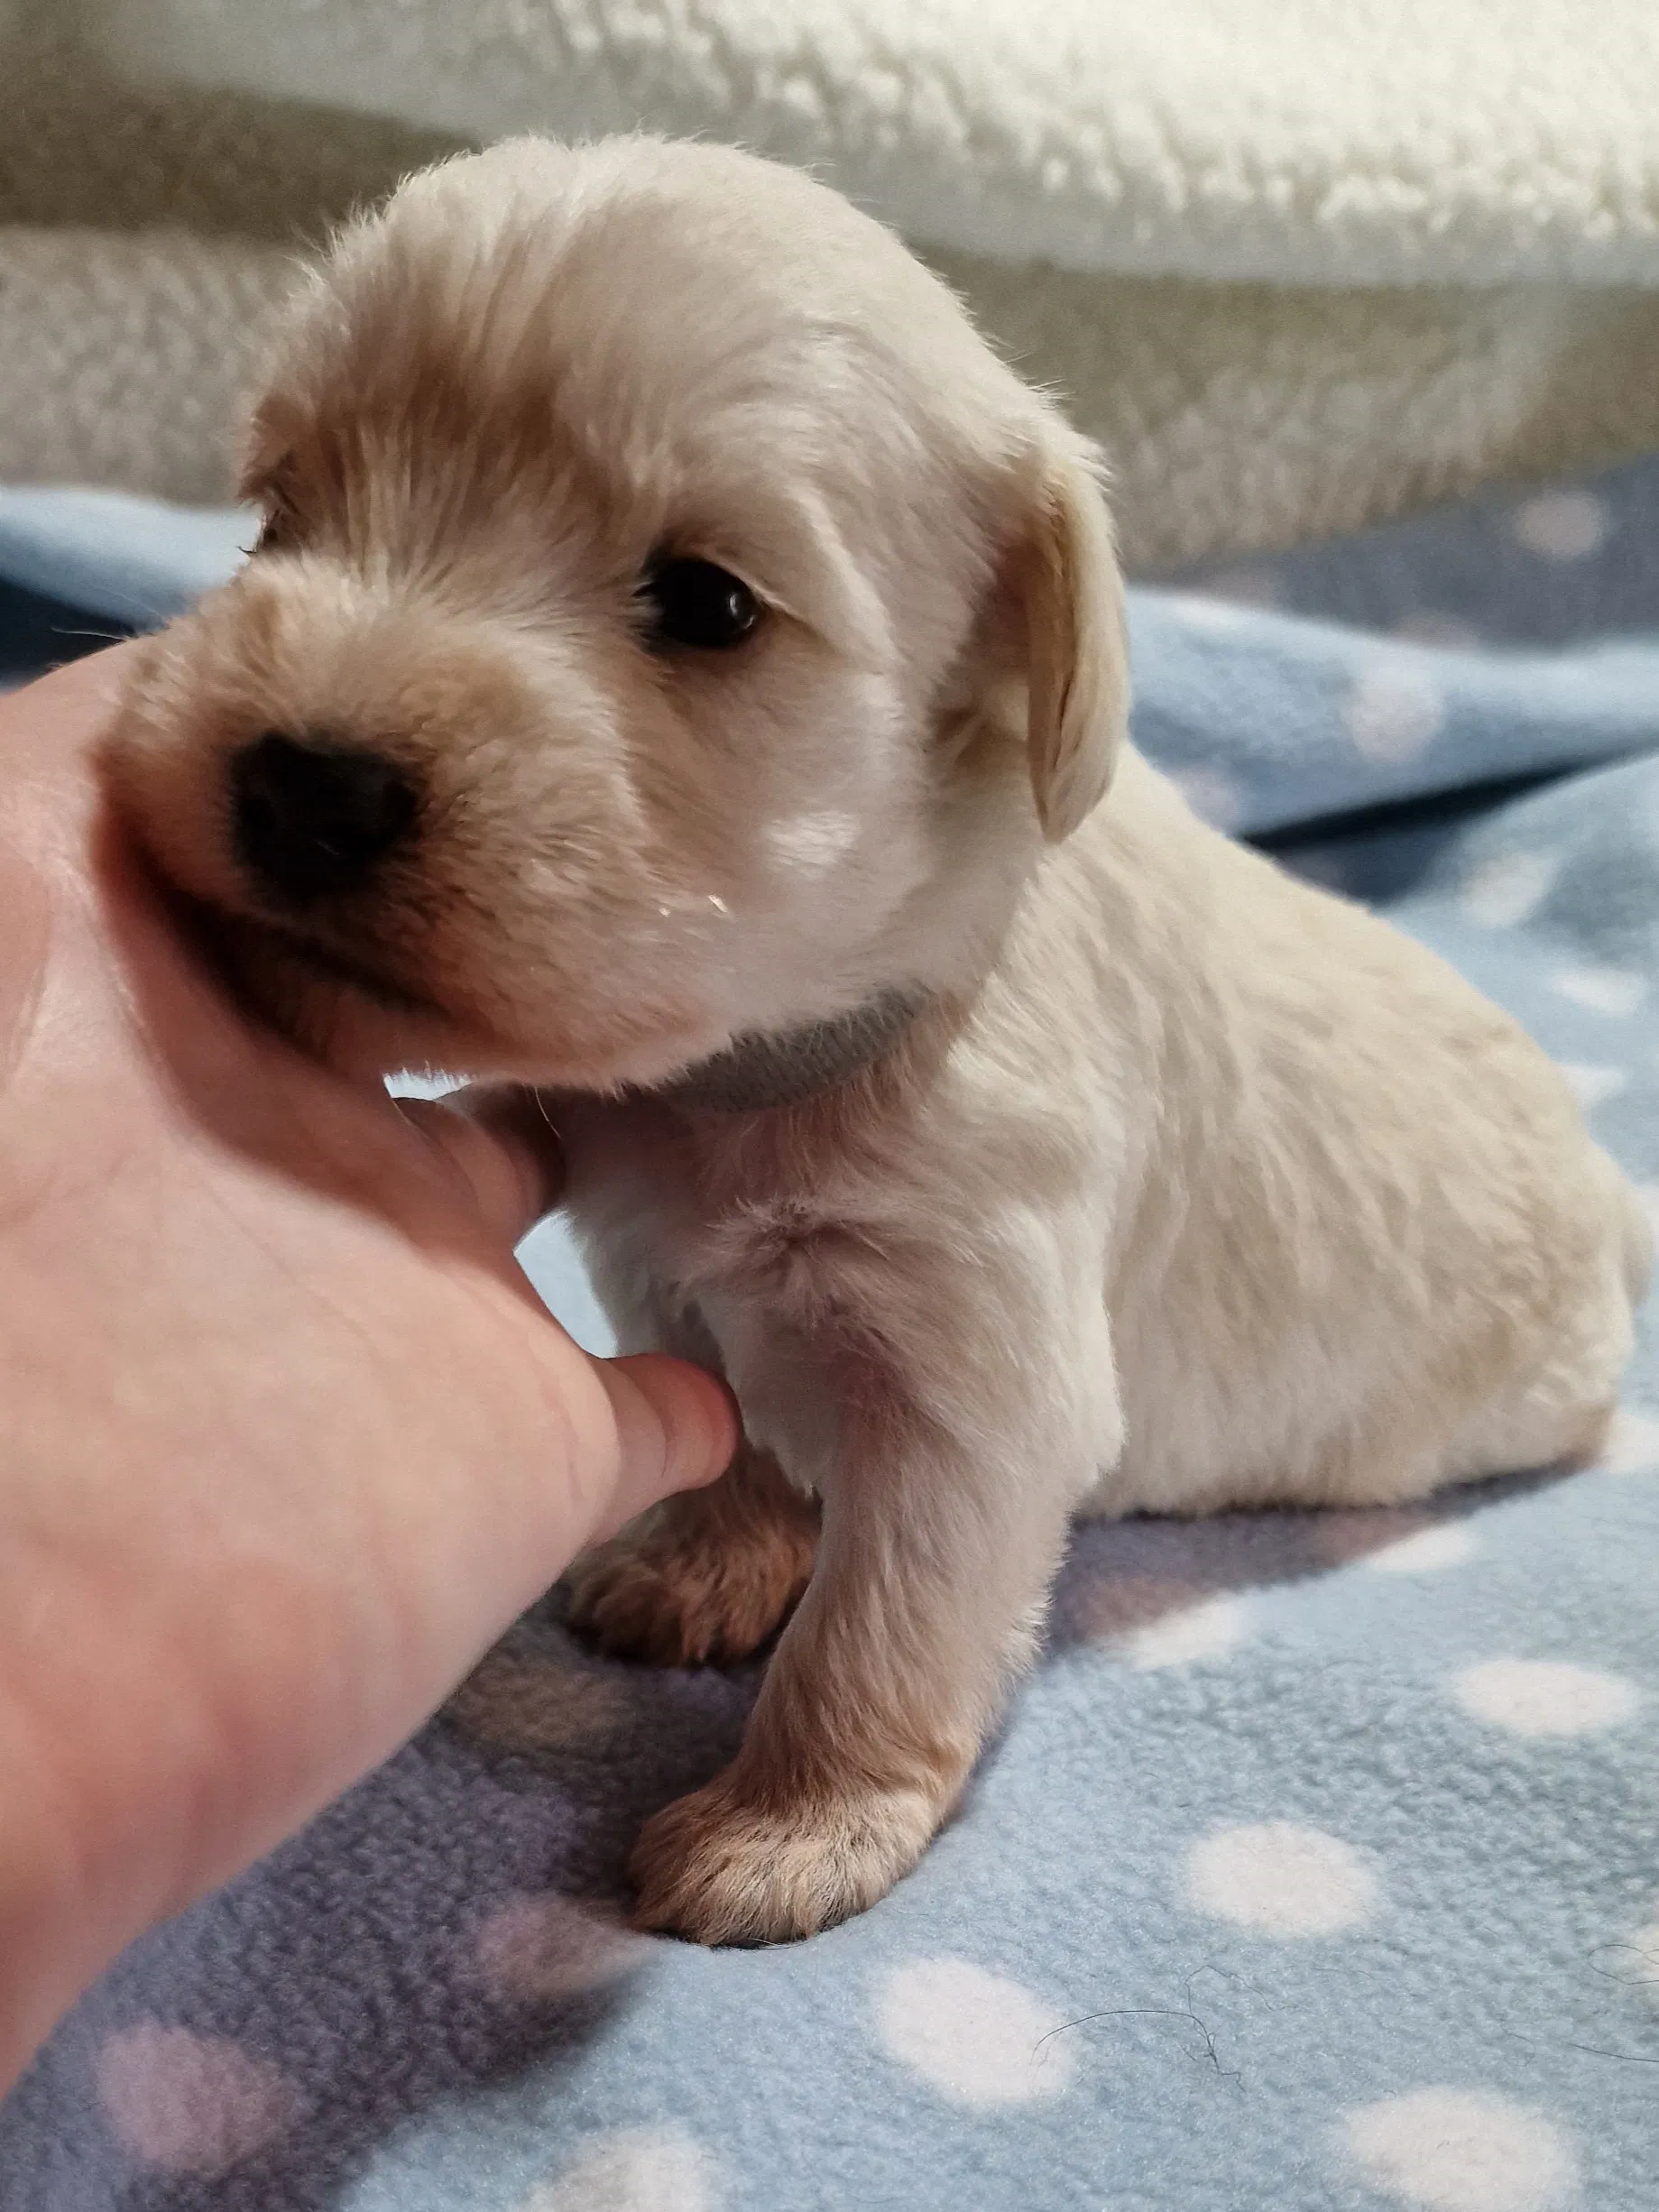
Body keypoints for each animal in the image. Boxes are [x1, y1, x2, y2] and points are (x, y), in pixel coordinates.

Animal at [104, 138, 1654, 1946]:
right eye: (280, 508)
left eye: (707, 603)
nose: (302, 784)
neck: (776, 1055)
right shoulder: (656, 1259)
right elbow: (731, 1436)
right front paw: (703, 1562)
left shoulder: (976, 1375)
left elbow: (881, 1622)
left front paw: (791, 1827)